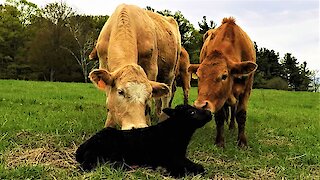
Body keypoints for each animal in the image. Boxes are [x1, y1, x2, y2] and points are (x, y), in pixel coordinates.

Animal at [75, 105, 212, 176]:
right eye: (191, 112)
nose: (209, 113)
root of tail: (83, 145)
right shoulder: (172, 157)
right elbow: (197, 167)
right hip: (98, 153)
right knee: (86, 166)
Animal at [189, 16, 256, 147]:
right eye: (198, 76)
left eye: (224, 76)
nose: (200, 105)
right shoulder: (218, 98)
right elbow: (220, 116)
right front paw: (220, 141)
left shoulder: (246, 90)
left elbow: (241, 114)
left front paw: (242, 142)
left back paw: (232, 127)